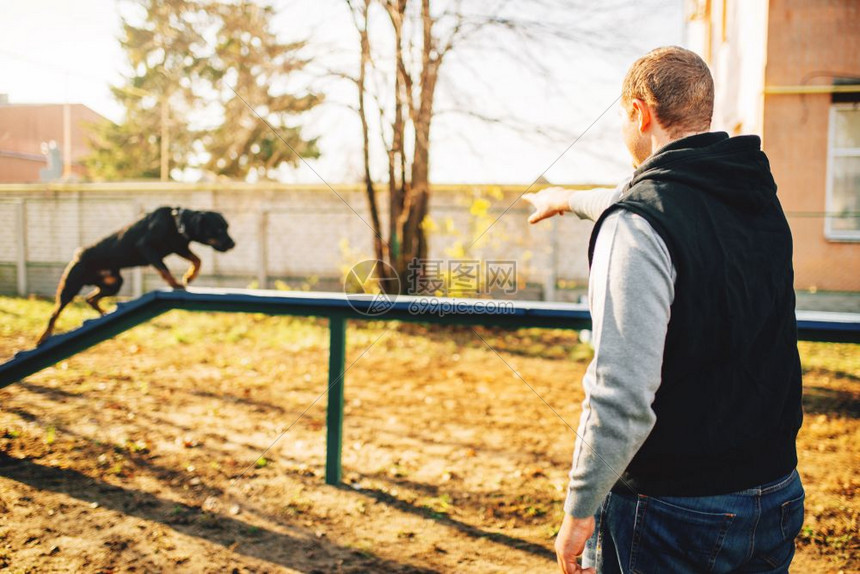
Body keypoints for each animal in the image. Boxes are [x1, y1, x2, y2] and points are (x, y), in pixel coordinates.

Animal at [38, 206, 235, 346]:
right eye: (218, 229)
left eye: (227, 227)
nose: (233, 244)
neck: (176, 224)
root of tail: (79, 254)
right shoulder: (147, 247)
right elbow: (165, 270)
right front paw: (176, 284)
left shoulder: (179, 248)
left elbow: (197, 260)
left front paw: (189, 277)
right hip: (70, 288)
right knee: (54, 314)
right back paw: (43, 337)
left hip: (114, 283)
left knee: (90, 298)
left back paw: (104, 313)